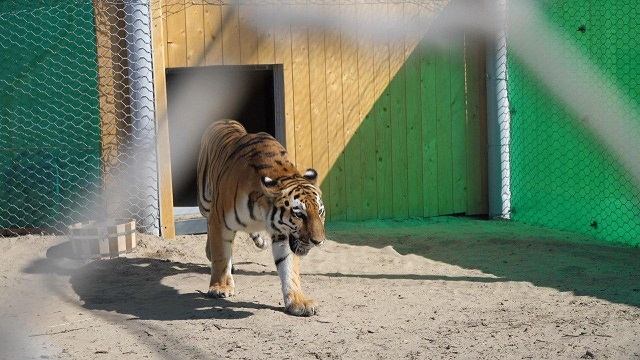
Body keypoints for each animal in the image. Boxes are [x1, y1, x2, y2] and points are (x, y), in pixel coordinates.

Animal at [196, 120, 328, 316]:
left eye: (320, 212)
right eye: (299, 214)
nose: (318, 241)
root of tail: (224, 120)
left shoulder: (284, 234)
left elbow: (289, 267)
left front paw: (298, 301)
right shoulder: (220, 221)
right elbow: (221, 255)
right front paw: (220, 287)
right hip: (205, 202)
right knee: (208, 223)